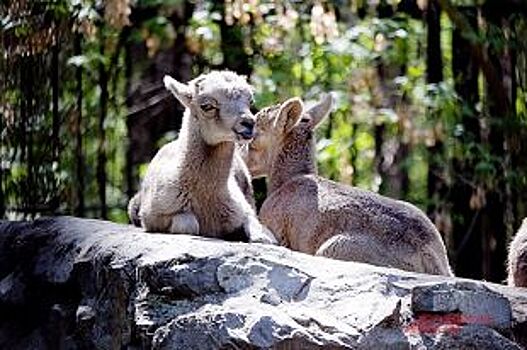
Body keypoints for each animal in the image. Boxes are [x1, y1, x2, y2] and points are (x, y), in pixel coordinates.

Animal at [128, 69, 276, 242]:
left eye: (250, 101)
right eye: (207, 106)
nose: (248, 124)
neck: (206, 199)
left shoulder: (244, 210)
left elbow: (261, 233)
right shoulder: (154, 217)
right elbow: (188, 225)